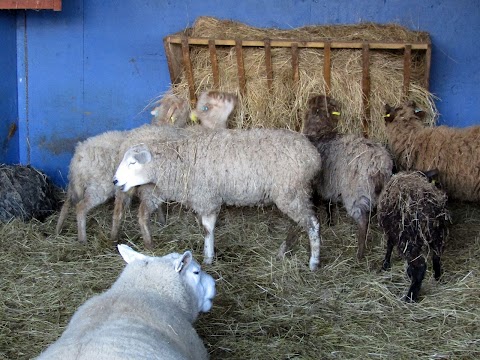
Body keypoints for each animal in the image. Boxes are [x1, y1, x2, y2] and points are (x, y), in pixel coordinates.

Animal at [112, 127, 322, 270]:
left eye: (133, 163)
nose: (115, 180)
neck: (179, 161)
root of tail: (314, 156)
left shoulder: (207, 198)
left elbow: (207, 230)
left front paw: (207, 257)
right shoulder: (205, 198)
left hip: (291, 191)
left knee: (312, 224)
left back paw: (313, 262)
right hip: (294, 194)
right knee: (299, 223)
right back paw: (284, 250)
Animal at [302, 95, 392, 258]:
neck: (320, 133)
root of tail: (379, 165)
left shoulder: (319, 185)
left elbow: (321, 204)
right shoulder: (329, 184)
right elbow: (329, 204)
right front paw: (330, 222)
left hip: (355, 194)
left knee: (363, 221)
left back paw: (360, 253)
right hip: (381, 195)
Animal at [378, 170, 450, 302]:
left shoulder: (392, 230)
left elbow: (389, 245)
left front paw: (385, 264)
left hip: (409, 239)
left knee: (420, 266)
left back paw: (410, 297)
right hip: (438, 234)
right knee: (436, 257)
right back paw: (438, 277)